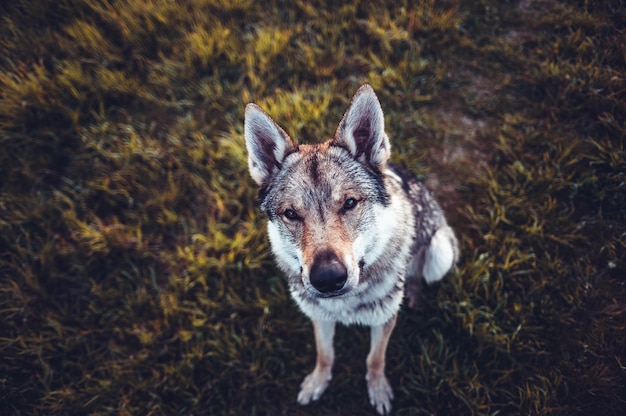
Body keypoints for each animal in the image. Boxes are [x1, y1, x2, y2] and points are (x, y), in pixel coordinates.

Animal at [245, 83, 458, 412]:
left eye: (349, 203)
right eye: (291, 214)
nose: (328, 278)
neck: (344, 306)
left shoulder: (384, 321)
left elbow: (374, 359)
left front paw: (379, 391)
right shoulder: (318, 317)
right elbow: (325, 355)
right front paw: (317, 383)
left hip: (440, 251)